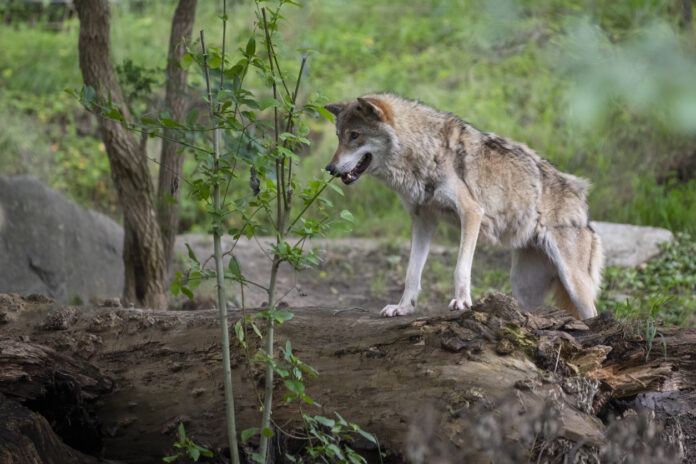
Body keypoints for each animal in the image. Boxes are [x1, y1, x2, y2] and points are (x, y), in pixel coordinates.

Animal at [324, 94, 600, 320]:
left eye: (354, 135)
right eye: (338, 136)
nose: (330, 168)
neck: (425, 150)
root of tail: (583, 203)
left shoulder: (471, 213)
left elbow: (461, 268)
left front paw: (461, 302)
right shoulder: (423, 221)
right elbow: (412, 273)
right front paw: (403, 307)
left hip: (575, 285)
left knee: (593, 315)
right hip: (523, 287)